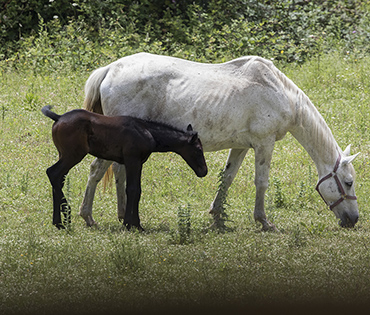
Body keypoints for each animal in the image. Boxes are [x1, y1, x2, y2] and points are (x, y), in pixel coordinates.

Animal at [42, 106, 208, 230]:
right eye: (198, 149)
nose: (204, 171)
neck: (147, 131)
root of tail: (58, 117)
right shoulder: (132, 160)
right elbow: (133, 189)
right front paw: (131, 224)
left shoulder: (137, 162)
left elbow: (137, 190)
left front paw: (135, 224)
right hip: (73, 155)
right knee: (53, 173)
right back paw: (65, 216)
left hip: (64, 155)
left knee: (58, 179)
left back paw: (58, 222)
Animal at [78, 51, 358, 230]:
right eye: (348, 182)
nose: (354, 220)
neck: (280, 93)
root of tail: (110, 69)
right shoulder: (264, 144)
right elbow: (261, 182)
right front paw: (264, 221)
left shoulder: (241, 146)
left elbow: (228, 178)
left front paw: (215, 216)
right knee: (96, 170)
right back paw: (88, 217)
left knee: (116, 171)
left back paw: (121, 214)